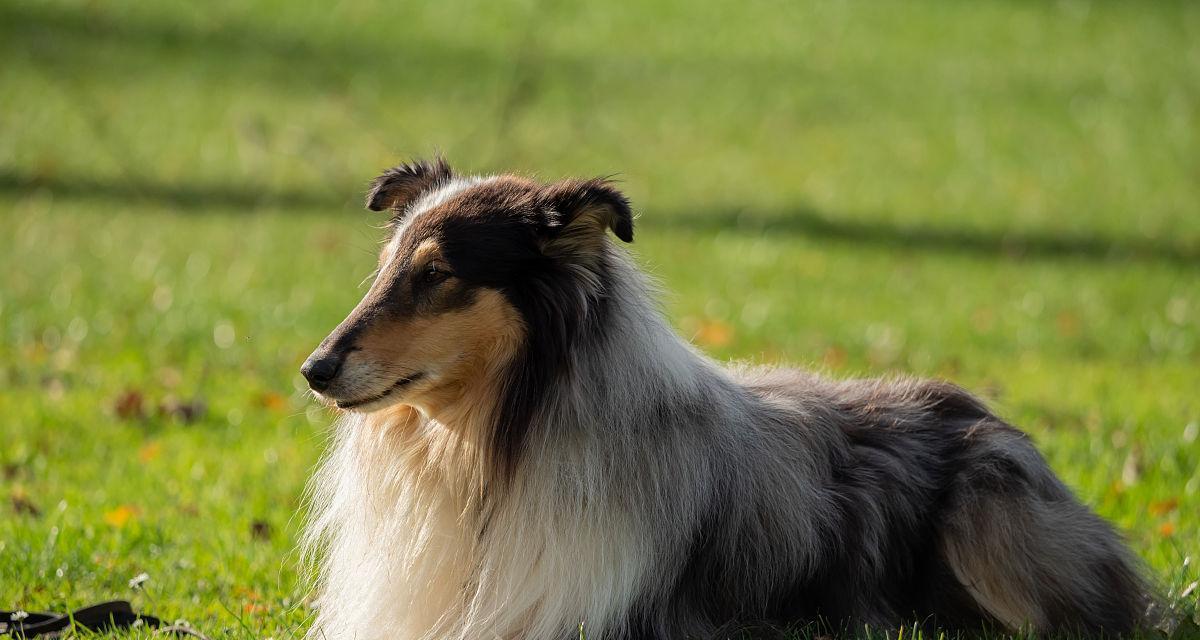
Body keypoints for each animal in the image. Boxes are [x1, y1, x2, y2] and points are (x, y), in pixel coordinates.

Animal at [297, 159, 1142, 638]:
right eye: (387, 267)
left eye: (437, 275)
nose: (314, 369)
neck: (493, 450)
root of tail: (982, 410)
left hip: (989, 523)